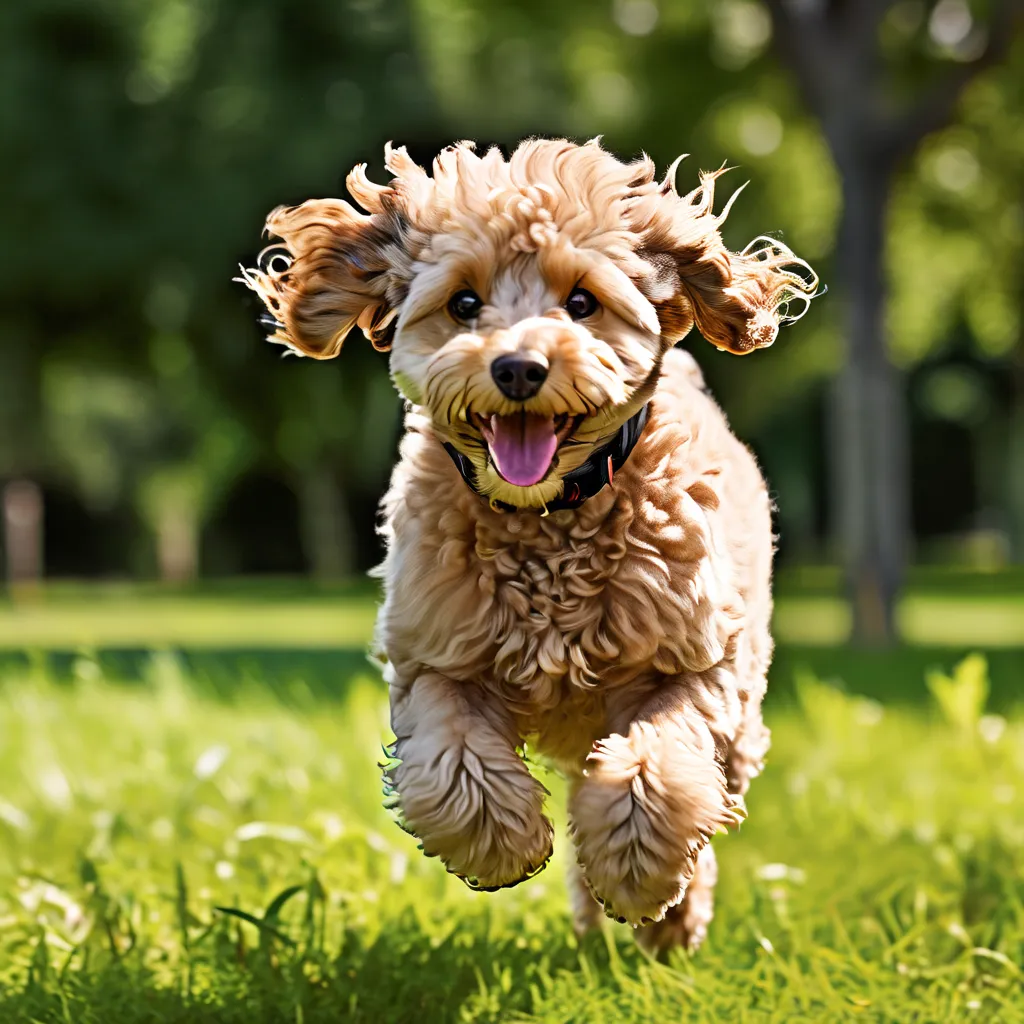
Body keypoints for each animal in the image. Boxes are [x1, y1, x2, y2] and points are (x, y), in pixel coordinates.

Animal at [239, 140, 815, 954]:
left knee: (707, 785)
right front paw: (503, 845)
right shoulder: (435, 657)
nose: (517, 368)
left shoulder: (698, 663)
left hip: (740, 711)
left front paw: (637, 872)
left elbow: (655, 770)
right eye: (463, 304)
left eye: (581, 303)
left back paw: (671, 917)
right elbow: (452, 765)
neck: (546, 519)